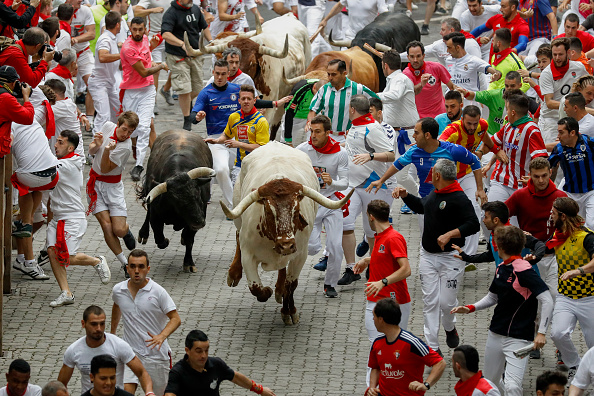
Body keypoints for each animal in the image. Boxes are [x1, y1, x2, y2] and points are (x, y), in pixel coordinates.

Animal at [137, 131, 215, 274]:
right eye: (176, 201)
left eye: (198, 194)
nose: (199, 222)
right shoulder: (156, 217)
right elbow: (160, 239)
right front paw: (165, 241)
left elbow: (189, 239)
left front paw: (189, 263)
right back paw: (143, 234)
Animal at [222, 142, 352, 324]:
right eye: (269, 211)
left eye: (296, 211)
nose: (286, 245)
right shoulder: (248, 255)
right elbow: (256, 288)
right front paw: (268, 291)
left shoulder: (300, 255)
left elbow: (291, 285)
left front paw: (288, 310)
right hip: (238, 216)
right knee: (237, 236)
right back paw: (234, 274)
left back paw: (279, 289)